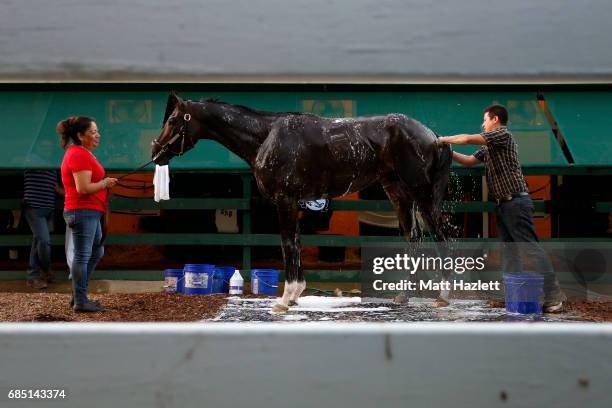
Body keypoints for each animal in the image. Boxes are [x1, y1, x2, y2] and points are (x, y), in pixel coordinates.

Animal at [151, 93, 452, 312]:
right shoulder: (295, 203)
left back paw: (443, 295)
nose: (155, 151)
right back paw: (403, 296)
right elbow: (295, 243)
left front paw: (285, 299)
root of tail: (434, 136)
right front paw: (295, 295)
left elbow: (287, 244)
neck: (266, 137)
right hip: (398, 194)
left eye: (174, 119)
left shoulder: (284, 201)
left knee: (441, 238)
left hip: (422, 195)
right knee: (413, 237)